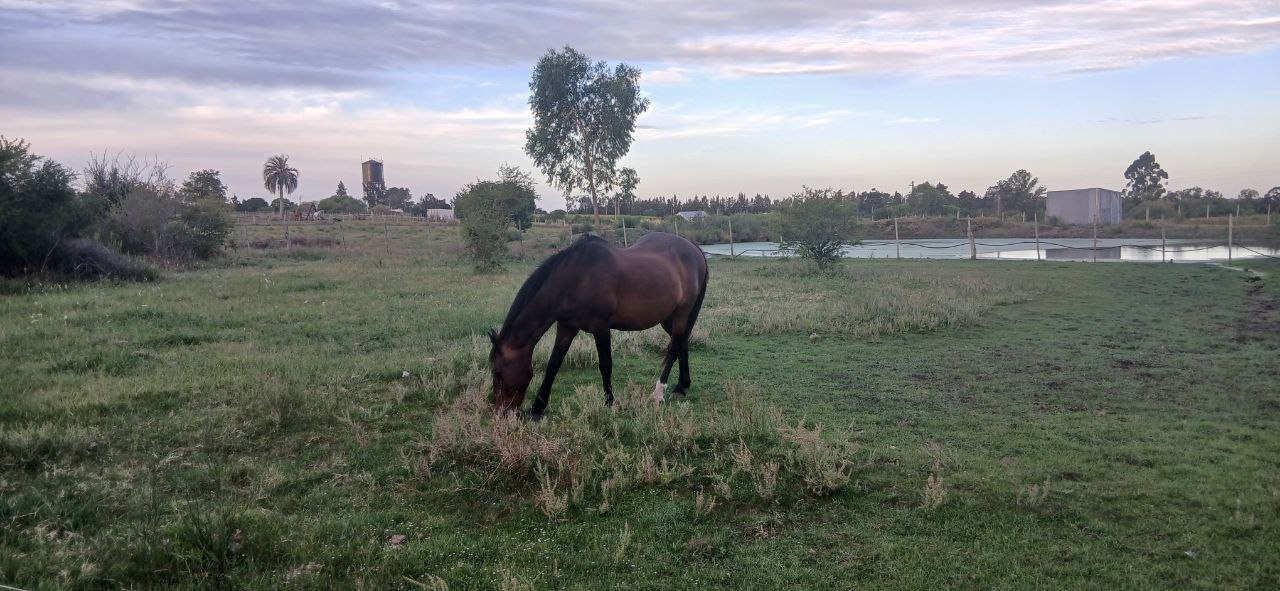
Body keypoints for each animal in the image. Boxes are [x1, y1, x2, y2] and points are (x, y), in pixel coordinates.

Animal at [489, 232, 709, 418]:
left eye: (497, 373)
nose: (501, 413)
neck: (577, 278)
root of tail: (693, 247)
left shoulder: (601, 328)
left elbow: (605, 365)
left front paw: (609, 403)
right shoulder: (566, 327)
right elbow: (553, 365)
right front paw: (537, 409)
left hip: (681, 314)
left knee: (673, 349)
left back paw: (658, 393)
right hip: (667, 318)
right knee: (682, 343)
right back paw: (681, 386)